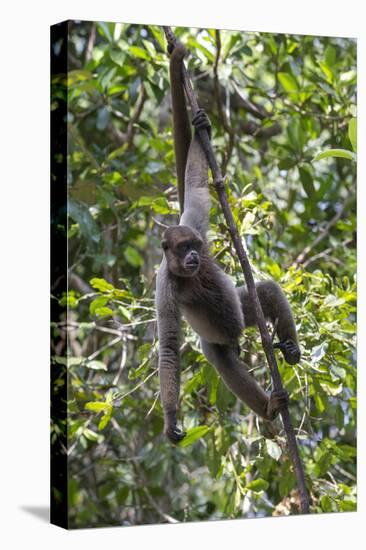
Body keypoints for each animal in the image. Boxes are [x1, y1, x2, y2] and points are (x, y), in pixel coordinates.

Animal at [155, 42, 300, 444]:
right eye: (182, 249)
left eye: (194, 246)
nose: (193, 255)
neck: (185, 274)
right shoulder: (164, 284)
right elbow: (169, 348)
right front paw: (170, 417)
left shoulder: (193, 224)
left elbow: (196, 186)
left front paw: (200, 124)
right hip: (221, 339)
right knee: (219, 355)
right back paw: (269, 407)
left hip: (242, 310)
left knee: (264, 292)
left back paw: (290, 349)